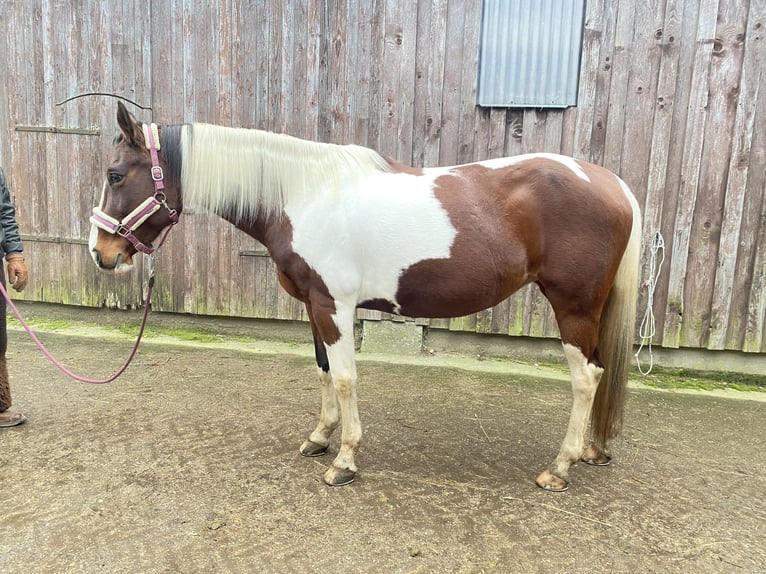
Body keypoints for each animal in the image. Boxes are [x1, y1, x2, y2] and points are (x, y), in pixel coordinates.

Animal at [89, 102, 641, 492]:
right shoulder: (313, 306)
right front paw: (319, 438)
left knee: (587, 379)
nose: (101, 253)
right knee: (600, 371)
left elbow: (346, 378)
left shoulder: (334, 305)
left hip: (573, 307)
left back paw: (560, 468)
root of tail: (614, 184)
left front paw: (345, 461)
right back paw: (591, 452)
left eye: (115, 175)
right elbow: (323, 372)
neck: (304, 193)